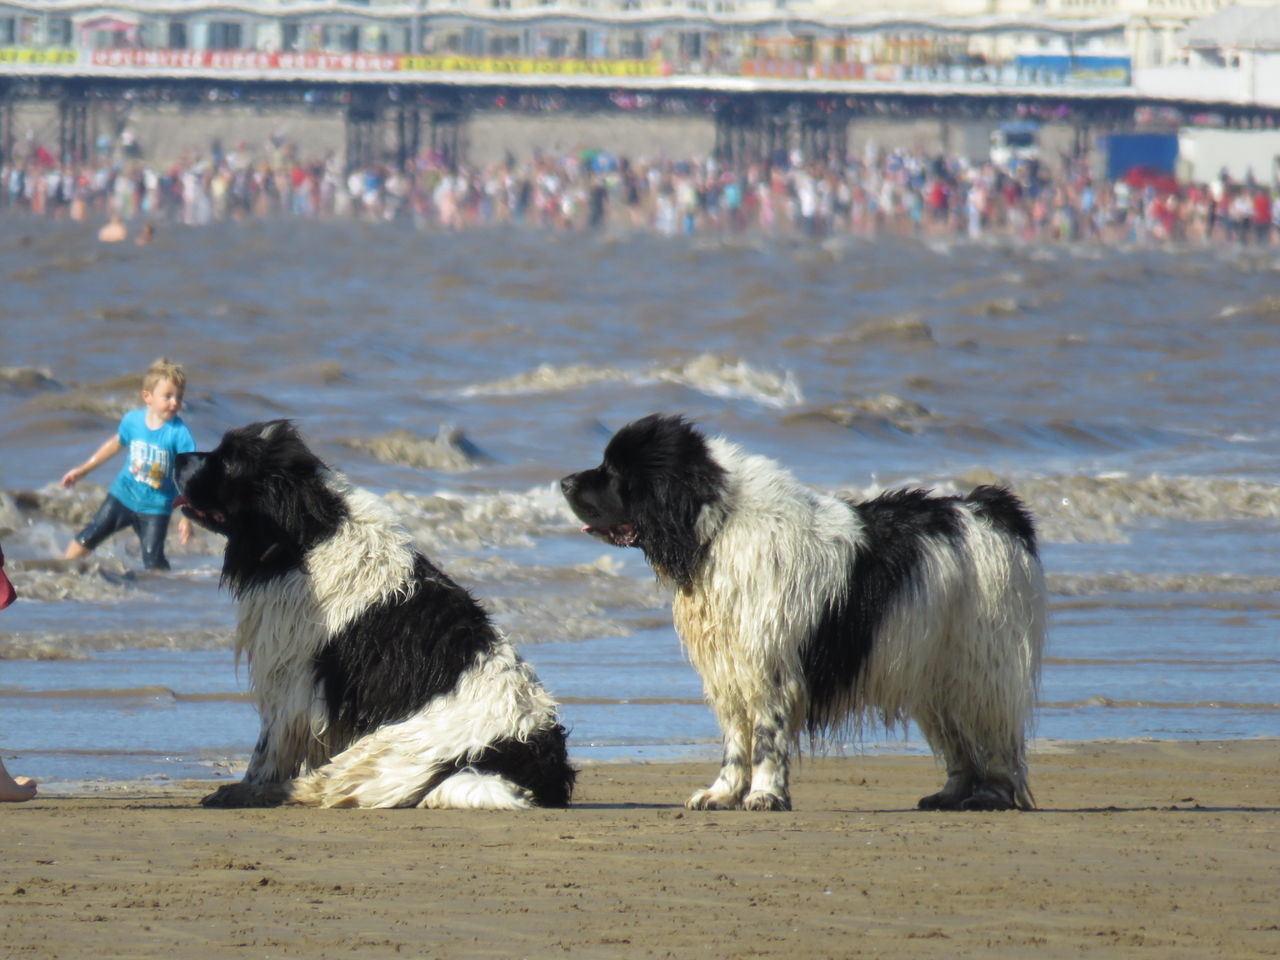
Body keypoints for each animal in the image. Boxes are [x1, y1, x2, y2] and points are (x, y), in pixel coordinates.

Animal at [172, 424, 573, 808]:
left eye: (228, 462)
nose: (176, 458)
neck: (313, 532)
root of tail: (530, 760)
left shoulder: (292, 677)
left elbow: (267, 749)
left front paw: (245, 789)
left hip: (390, 746)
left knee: (326, 785)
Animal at [565, 414, 1044, 814]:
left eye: (615, 473)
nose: (565, 481)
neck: (718, 524)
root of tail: (990, 509)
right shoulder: (730, 667)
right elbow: (735, 741)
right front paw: (722, 793)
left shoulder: (769, 666)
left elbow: (766, 737)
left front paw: (763, 794)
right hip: (934, 667)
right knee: (958, 736)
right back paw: (950, 794)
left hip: (978, 659)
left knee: (993, 731)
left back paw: (989, 795)